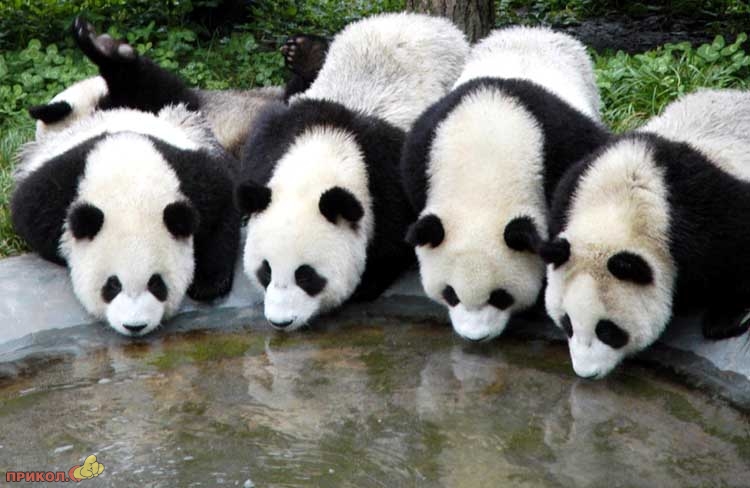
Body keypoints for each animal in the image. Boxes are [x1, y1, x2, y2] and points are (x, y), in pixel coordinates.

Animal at [11, 20, 242, 337]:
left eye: (156, 284)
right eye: (112, 286)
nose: (135, 325)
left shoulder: (192, 175)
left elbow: (223, 206)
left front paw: (208, 282)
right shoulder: (54, 191)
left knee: (149, 83)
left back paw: (103, 46)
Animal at [235, 13, 470, 330]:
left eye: (306, 275)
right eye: (266, 270)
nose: (281, 321)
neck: (324, 149)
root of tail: (422, 18)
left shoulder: (389, 176)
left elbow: (395, 243)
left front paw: (364, 283)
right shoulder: (273, 139)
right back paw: (305, 53)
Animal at [400, 27, 609, 342]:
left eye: (499, 296)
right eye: (451, 294)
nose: (474, 337)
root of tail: (529, 30)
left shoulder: (561, 149)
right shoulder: (424, 151)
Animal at [541, 89, 750, 379]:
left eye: (607, 330)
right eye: (567, 323)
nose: (586, 373)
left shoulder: (704, 215)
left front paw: (727, 317)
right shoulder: (572, 191)